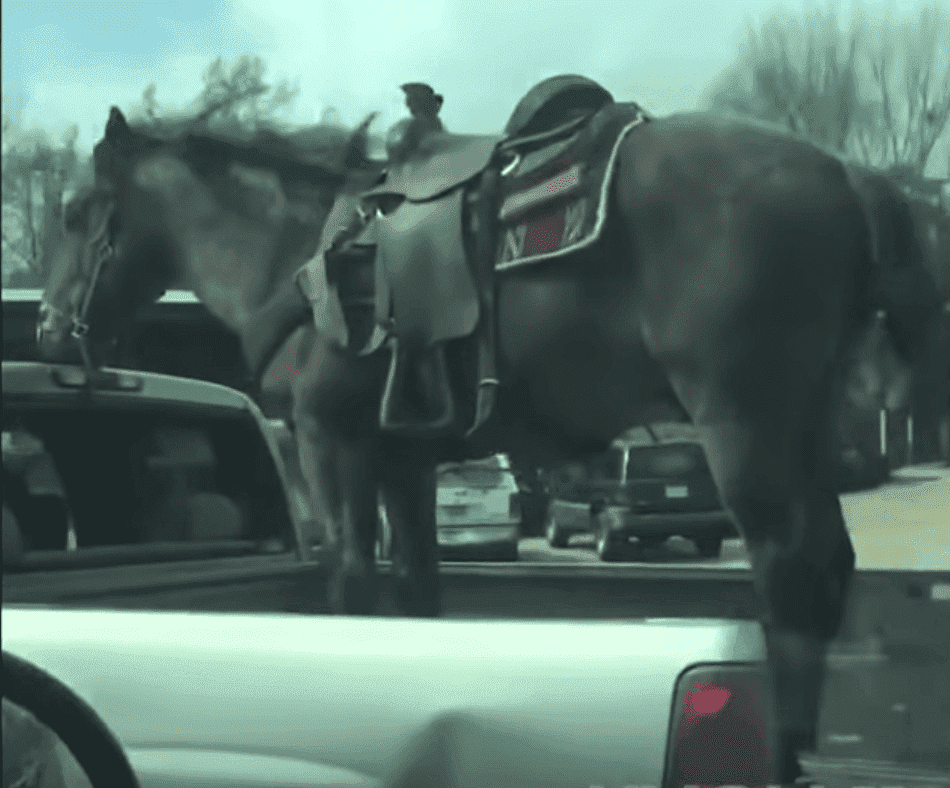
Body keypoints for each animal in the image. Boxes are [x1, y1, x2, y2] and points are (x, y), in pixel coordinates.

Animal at [37, 87, 944, 780]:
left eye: (77, 212)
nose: (47, 329)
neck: (294, 251)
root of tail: (845, 173)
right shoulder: (402, 459)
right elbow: (416, 590)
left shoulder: (333, 441)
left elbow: (351, 586)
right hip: (801, 422)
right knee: (827, 571)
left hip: (741, 420)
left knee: (790, 575)